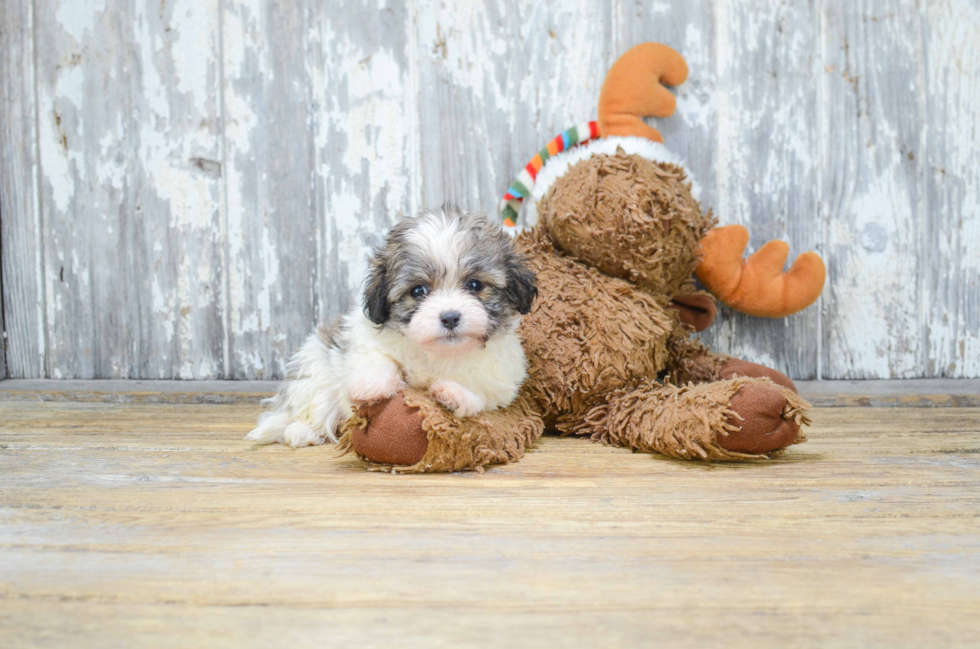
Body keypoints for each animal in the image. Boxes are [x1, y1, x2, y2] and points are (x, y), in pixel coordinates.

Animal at [245, 202, 536, 446]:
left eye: (475, 285)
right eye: (418, 291)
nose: (450, 317)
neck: (439, 354)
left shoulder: (499, 383)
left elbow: (480, 394)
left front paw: (454, 393)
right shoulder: (363, 337)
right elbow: (378, 359)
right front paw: (370, 386)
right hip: (316, 369)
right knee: (314, 405)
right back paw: (301, 431)